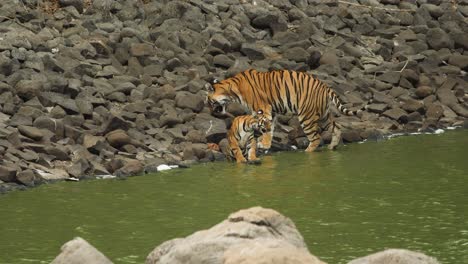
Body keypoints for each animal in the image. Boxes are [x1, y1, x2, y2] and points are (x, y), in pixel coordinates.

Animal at [206, 69, 366, 153]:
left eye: (209, 101)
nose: (210, 112)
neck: (231, 90)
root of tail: (325, 86)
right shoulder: (271, 111)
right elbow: (269, 128)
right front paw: (265, 144)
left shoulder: (262, 109)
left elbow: (264, 128)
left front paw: (261, 143)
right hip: (323, 115)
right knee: (337, 126)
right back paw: (332, 147)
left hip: (306, 116)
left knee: (315, 138)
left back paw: (307, 153)